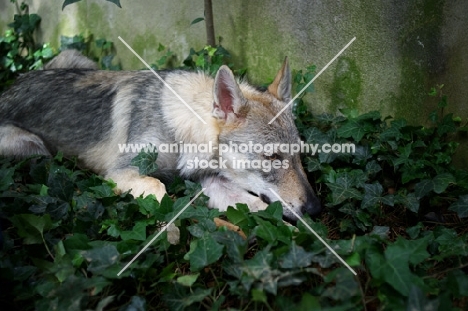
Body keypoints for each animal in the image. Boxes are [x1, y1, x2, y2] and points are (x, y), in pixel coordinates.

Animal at [0, 51, 322, 229]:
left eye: (299, 155)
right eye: (272, 158)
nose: (315, 209)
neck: (180, 134)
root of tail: (10, 87)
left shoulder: (212, 183)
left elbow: (260, 209)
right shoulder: (122, 172)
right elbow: (159, 190)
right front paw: (169, 229)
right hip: (33, 149)